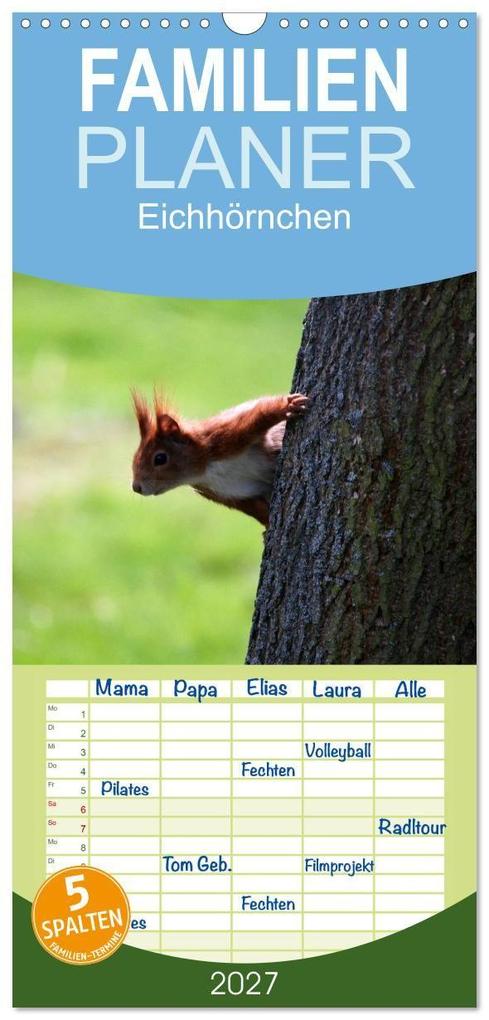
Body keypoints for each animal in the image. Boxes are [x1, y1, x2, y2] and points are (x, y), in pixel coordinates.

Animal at [131, 391, 309, 526]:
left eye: (160, 458)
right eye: (134, 458)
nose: (136, 487)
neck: (205, 470)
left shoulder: (225, 436)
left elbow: (260, 415)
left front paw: (287, 406)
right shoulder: (223, 494)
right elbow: (253, 508)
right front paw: (268, 526)